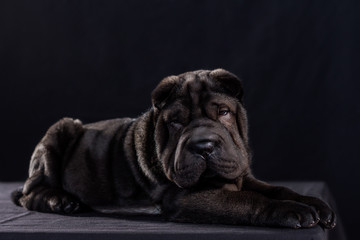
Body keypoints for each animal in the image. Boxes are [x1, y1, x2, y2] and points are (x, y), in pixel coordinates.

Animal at [11, 69, 338, 229]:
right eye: (176, 122)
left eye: (223, 113)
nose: (204, 145)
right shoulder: (186, 197)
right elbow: (249, 201)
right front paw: (292, 211)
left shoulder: (242, 175)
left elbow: (278, 188)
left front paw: (316, 205)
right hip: (61, 129)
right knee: (30, 193)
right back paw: (61, 201)